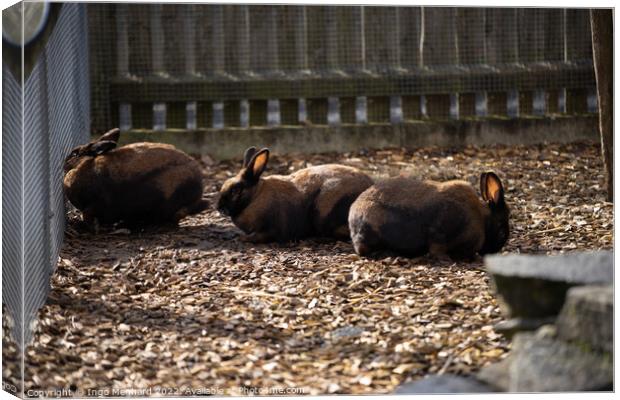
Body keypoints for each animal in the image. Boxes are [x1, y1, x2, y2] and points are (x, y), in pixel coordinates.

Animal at [64, 128, 208, 228]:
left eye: (74, 154)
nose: (64, 164)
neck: (85, 164)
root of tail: (198, 188)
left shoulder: (94, 205)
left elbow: (87, 215)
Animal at [218, 146, 372, 242]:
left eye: (235, 190)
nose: (219, 208)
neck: (255, 196)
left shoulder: (269, 229)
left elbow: (259, 236)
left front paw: (242, 238)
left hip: (324, 213)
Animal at [348, 171, 508, 260]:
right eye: (501, 229)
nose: (495, 251)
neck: (482, 219)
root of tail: (352, 216)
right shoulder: (440, 234)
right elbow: (437, 248)